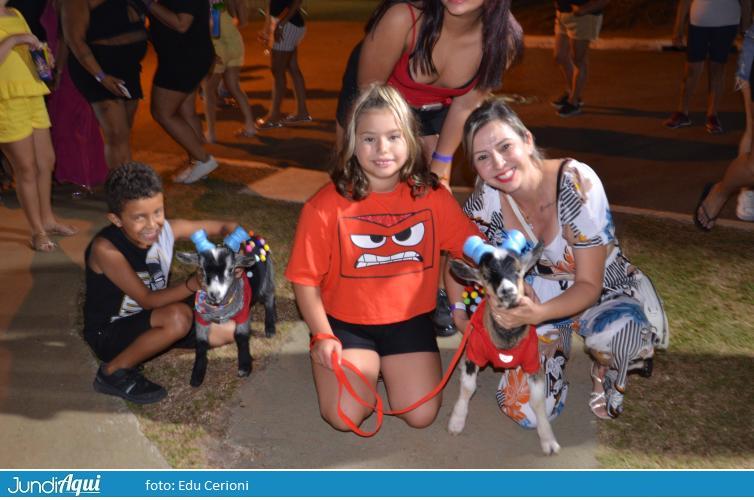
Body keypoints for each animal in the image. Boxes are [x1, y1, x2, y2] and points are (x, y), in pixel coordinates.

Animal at [176, 227, 276, 386]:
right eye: (202, 270)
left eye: (231, 269)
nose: (214, 294)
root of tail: (254, 236)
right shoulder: (201, 318)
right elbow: (201, 342)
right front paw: (197, 373)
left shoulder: (242, 315)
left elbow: (241, 337)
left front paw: (244, 366)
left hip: (266, 277)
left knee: (269, 297)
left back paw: (270, 326)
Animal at [446, 232, 560, 456]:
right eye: (487, 275)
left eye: (517, 270)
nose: (507, 291)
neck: (506, 340)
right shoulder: (474, 353)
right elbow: (468, 387)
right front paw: (456, 421)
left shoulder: (533, 363)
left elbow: (538, 401)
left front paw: (548, 440)